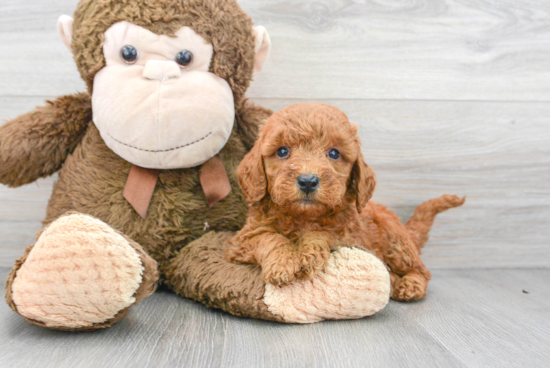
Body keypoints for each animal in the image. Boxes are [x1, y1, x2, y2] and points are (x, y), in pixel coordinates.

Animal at [229, 102, 466, 300]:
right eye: (282, 151)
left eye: (334, 153)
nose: (308, 181)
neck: (303, 216)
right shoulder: (242, 240)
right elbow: (269, 238)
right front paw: (282, 264)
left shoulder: (350, 236)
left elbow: (323, 233)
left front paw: (308, 254)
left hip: (397, 244)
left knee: (421, 270)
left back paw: (409, 285)